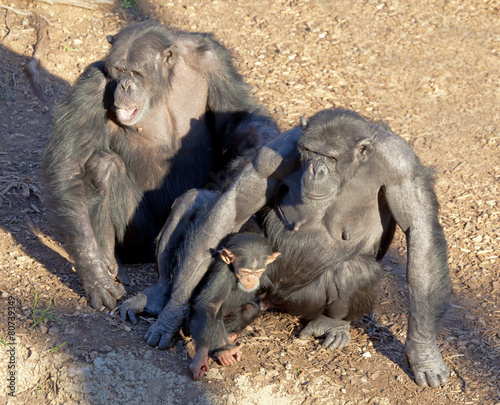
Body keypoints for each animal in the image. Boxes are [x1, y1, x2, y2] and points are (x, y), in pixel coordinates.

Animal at [41, 22, 278, 308]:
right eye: (119, 70)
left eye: (136, 72)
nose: (125, 86)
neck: (162, 86)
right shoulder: (92, 86)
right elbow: (69, 165)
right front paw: (93, 273)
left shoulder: (214, 60)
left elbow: (240, 116)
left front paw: (249, 161)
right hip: (139, 240)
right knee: (103, 166)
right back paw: (109, 258)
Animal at [188, 232, 280, 380]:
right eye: (245, 272)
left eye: (258, 272)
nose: (251, 279)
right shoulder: (222, 271)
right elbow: (211, 305)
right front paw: (201, 356)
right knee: (215, 313)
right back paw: (224, 350)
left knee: (250, 309)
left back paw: (230, 335)